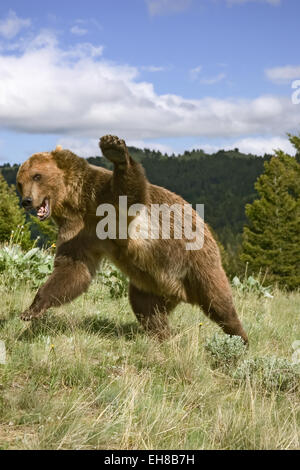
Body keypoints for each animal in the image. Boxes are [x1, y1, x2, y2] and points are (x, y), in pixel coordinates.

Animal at [15, 134, 247, 344]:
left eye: (37, 176)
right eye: (20, 182)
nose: (26, 201)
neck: (78, 203)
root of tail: (181, 293)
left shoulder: (104, 199)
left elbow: (130, 192)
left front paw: (115, 149)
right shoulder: (78, 231)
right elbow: (73, 268)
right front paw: (32, 309)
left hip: (196, 261)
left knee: (218, 301)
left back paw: (240, 338)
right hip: (151, 284)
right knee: (146, 308)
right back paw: (162, 336)